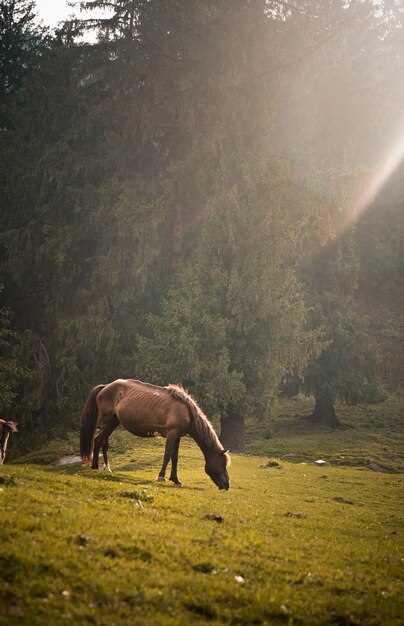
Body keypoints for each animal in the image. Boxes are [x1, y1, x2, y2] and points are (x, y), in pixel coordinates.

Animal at [79, 378, 230, 490]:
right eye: (222, 464)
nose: (226, 485)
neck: (187, 412)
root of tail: (105, 387)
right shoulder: (172, 434)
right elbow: (167, 455)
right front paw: (161, 477)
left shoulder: (177, 437)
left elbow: (175, 458)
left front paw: (176, 480)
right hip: (108, 421)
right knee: (98, 440)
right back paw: (95, 467)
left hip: (113, 422)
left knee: (103, 442)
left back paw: (107, 468)